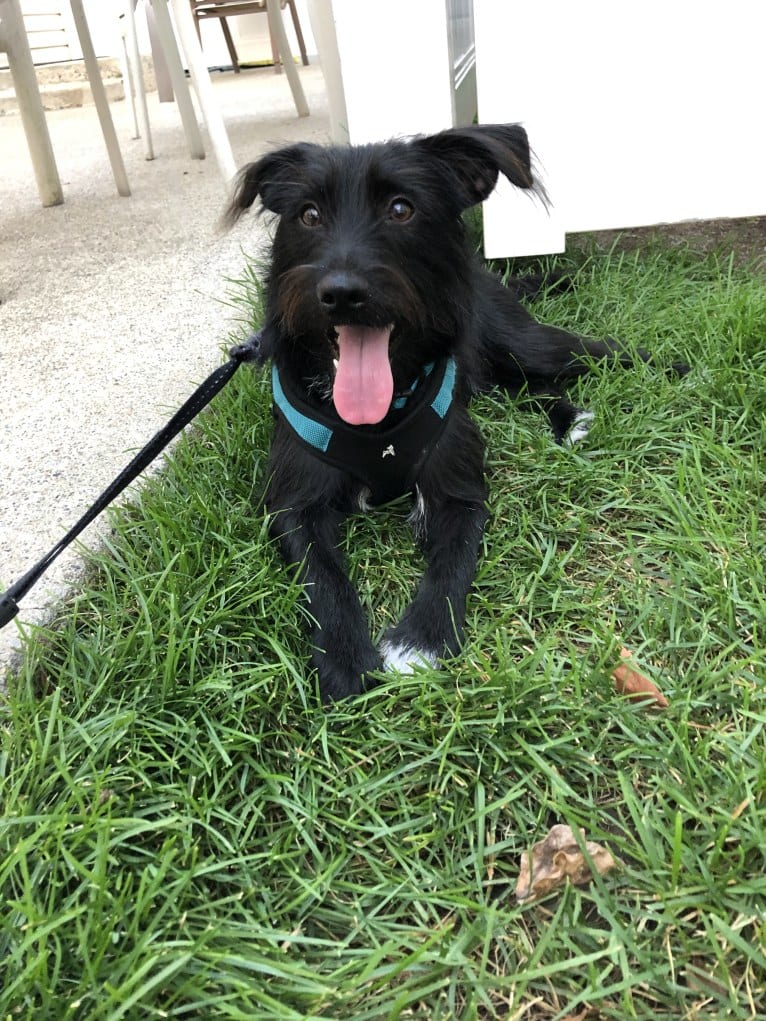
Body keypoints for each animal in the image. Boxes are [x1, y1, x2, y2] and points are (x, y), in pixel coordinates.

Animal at [226, 125, 678, 702]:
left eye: (401, 208)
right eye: (307, 214)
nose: (341, 293)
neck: (376, 419)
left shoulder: (460, 493)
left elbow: (453, 560)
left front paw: (422, 641)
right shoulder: (294, 504)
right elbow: (322, 577)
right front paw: (345, 661)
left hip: (527, 343)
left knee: (599, 353)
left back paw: (681, 368)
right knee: (532, 387)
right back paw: (566, 418)